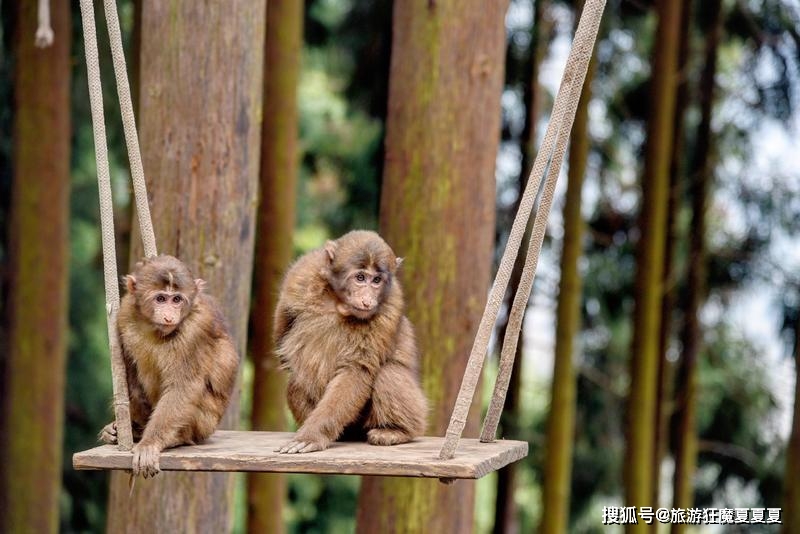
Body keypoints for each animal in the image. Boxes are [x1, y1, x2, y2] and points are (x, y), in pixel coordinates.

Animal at [99, 253, 239, 480]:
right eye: (161, 299)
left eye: (177, 300)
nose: (168, 316)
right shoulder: (126, 313)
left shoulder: (196, 329)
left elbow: (183, 387)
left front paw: (150, 443)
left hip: (205, 424)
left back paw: (174, 438)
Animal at [272, 231, 428, 456]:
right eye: (360, 277)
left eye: (377, 280)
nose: (367, 300)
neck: (338, 303)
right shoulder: (300, 276)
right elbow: (281, 335)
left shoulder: (391, 304)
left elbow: (357, 369)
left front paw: (312, 435)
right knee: (297, 382)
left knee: (388, 373)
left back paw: (397, 431)